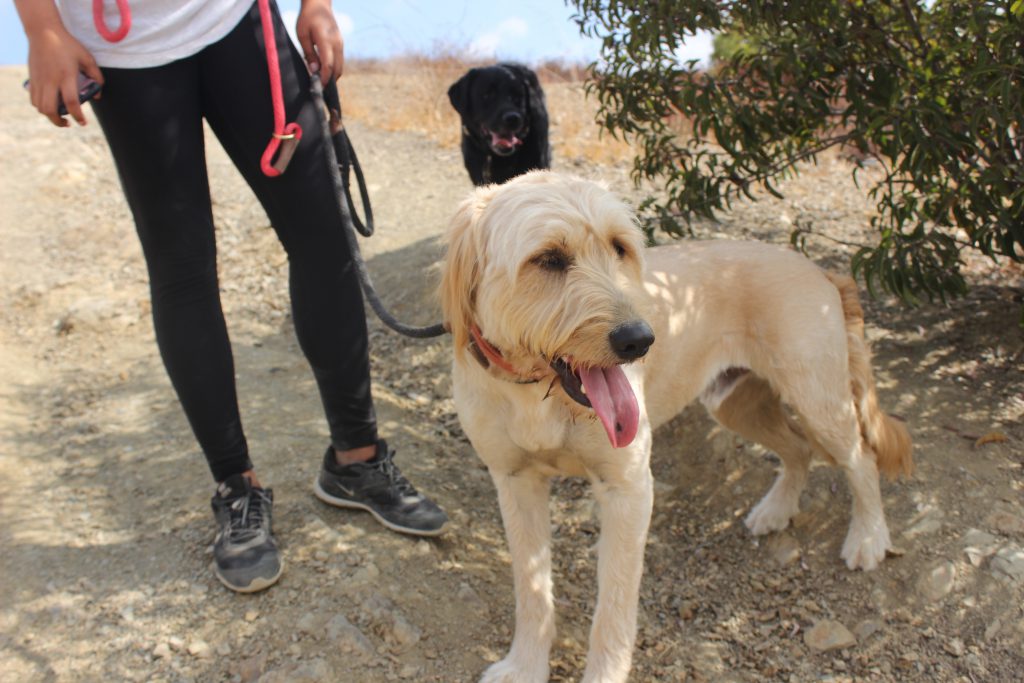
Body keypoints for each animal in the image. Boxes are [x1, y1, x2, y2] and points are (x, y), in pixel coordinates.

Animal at [440, 172, 913, 683]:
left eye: (620, 247)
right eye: (547, 258)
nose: (639, 340)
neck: (535, 396)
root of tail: (818, 269)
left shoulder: (628, 489)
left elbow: (614, 606)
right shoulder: (515, 483)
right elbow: (531, 590)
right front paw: (524, 666)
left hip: (819, 400)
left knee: (859, 459)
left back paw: (868, 538)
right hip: (734, 405)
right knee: (798, 450)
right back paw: (776, 510)